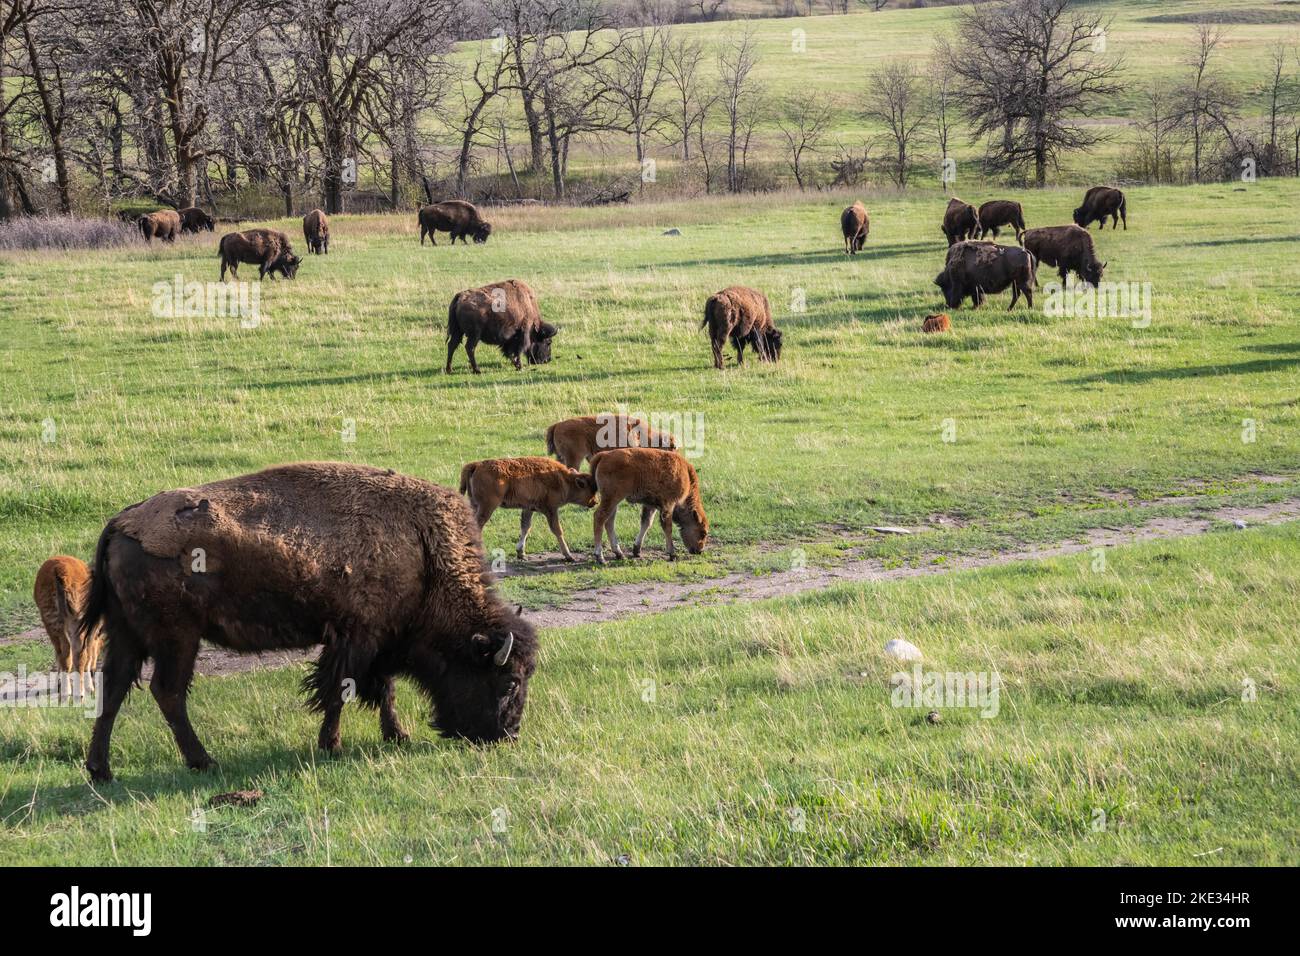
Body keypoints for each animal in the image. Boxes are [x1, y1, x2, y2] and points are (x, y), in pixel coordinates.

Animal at [33, 556, 103, 697]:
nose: (94, 670)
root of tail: (61, 570)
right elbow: (89, 652)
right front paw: (90, 687)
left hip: (52, 618)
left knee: (64, 652)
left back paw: (66, 690)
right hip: (76, 620)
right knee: (78, 653)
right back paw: (79, 692)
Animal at [460, 455, 595, 561]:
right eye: (590, 490)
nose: (595, 502)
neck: (564, 479)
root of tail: (477, 465)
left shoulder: (528, 508)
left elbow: (525, 527)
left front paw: (521, 553)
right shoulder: (551, 509)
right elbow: (557, 530)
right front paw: (569, 556)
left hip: (475, 505)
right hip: (487, 507)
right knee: (476, 526)